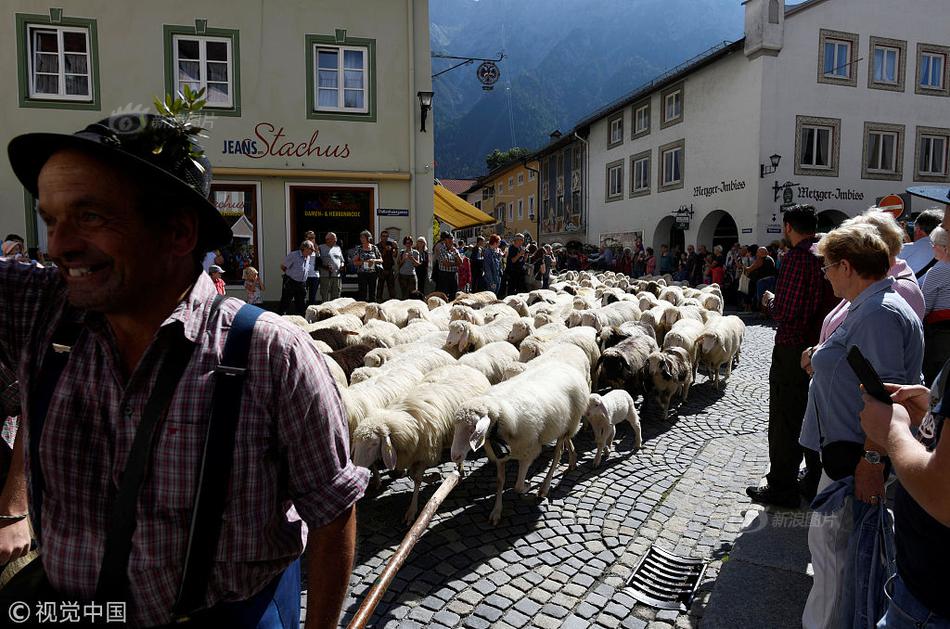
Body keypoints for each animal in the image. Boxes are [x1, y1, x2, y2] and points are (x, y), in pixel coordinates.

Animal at [354, 364, 494, 520]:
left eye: (373, 443)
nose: (356, 466)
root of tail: (466, 366)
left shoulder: (425, 452)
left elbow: (416, 478)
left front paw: (412, 510)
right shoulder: (413, 453)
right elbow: (411, 474)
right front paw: (432, 477)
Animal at [450, 348, 592, 524]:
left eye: (472, 429)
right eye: (456, 427)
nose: (454, 456)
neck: (500, 418)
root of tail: (567, 367)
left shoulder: (529, 452)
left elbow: (517, 486)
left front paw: (527, 486)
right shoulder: (500, 456)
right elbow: (500, 481)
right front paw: (496, 512)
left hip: (568, 425)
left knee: (557, 454)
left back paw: (544, 487)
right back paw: (572, 459)